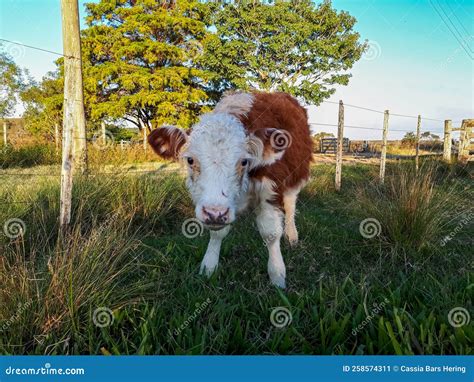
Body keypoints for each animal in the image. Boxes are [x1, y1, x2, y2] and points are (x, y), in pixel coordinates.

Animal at [148, 92, 312, 288]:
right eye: (190, 160)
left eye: (244, 161)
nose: (215, 213)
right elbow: (217, 233)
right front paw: (209, 267)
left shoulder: (271, 188)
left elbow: (271, 233)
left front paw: (277, 274)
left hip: (295, 179)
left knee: (290, 207)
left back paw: (292, 236)